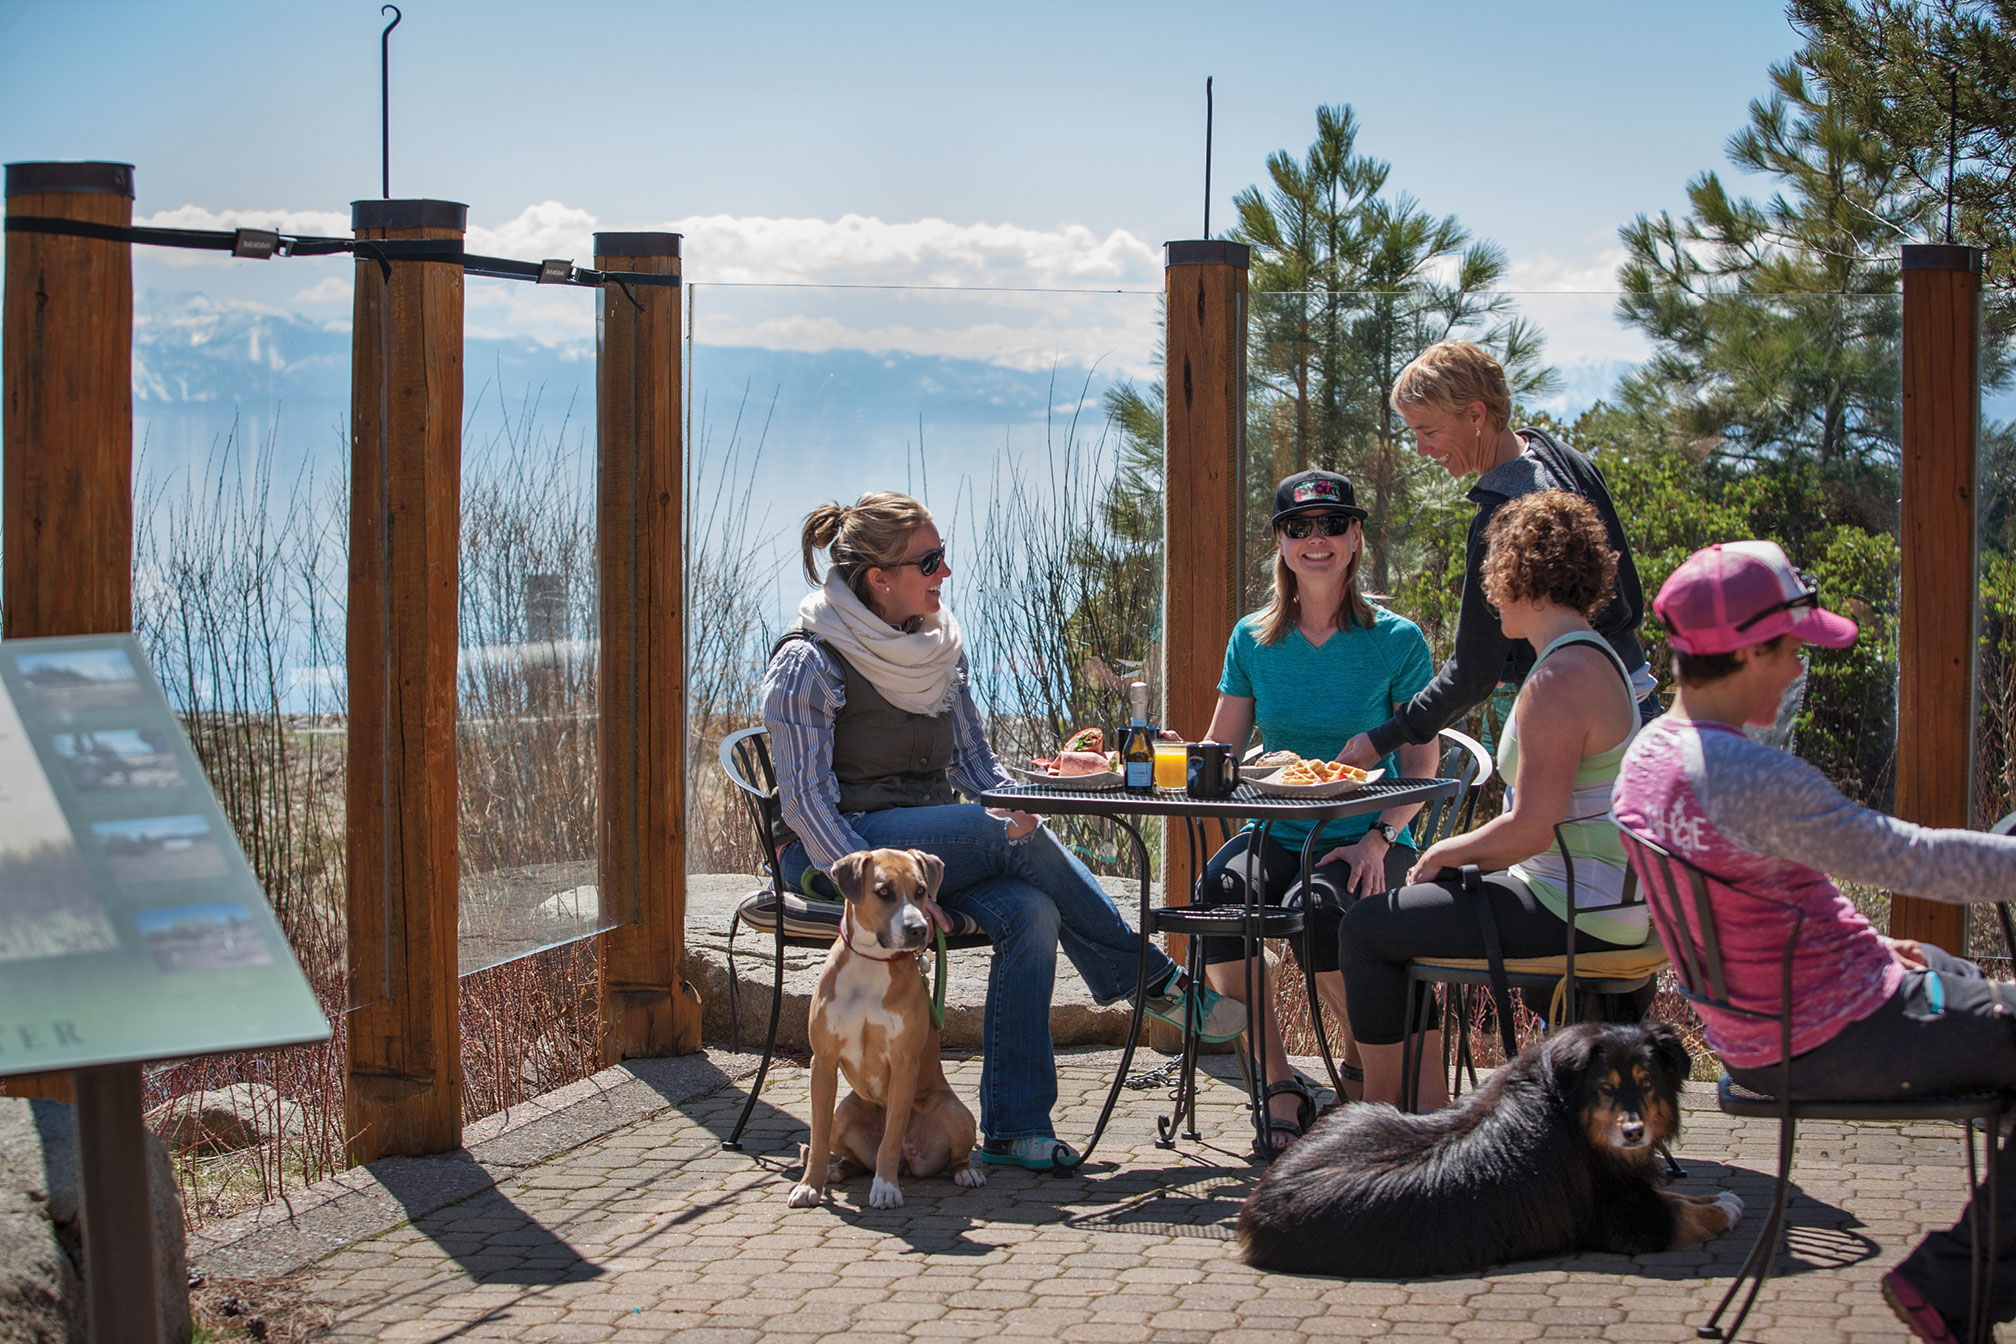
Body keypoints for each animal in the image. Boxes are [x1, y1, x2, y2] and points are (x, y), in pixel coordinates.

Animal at [786, 850, 983, 1208]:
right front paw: (809, 1186)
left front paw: (886, 1188)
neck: (872, 962)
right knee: (851, 1158)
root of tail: (910, 1162)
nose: (918, 928)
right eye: (883, 892)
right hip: (844, 1113)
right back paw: (836, 1170)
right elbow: (817, 1138)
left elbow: (890, 1137)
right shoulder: (822, 1062)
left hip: (956, 1113)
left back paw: (967, 1173)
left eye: (920, 891)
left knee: (954, 1157)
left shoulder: (904, 1064)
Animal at [1233, 1023, 1741, 1281]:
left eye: (1647, 1082)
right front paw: (1726, 1207)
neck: (1563, 1104)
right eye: (1605, 1088)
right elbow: (1685, 1212)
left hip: (1364, 1113)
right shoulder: (1628, 1223)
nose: (1634, 1133)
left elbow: (1680, 1196)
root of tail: (1257, 1211)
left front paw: (1719, 1196)